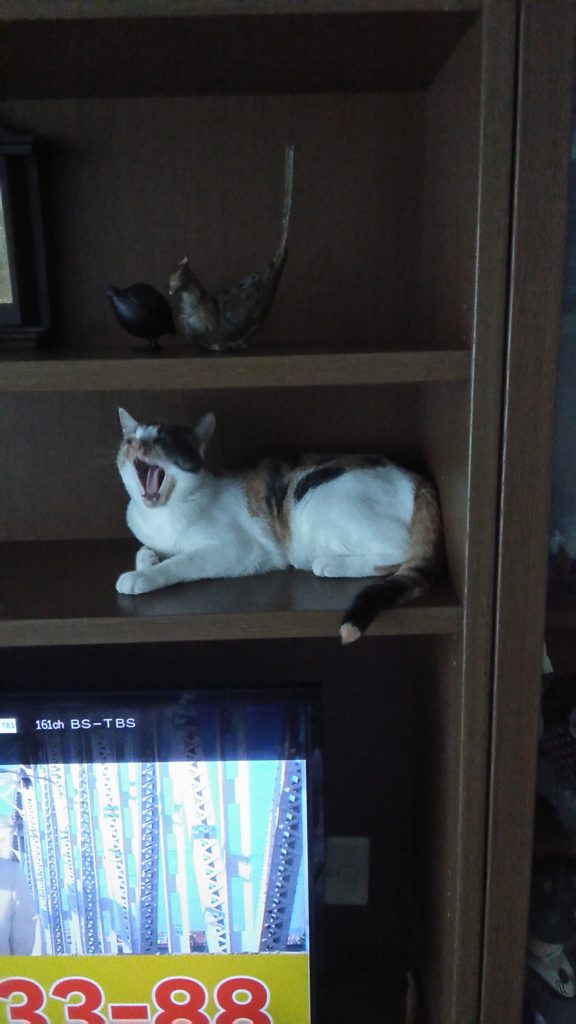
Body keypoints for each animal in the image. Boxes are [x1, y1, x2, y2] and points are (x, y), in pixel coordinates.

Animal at [115, 408, 443, 643]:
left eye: (161, 441)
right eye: (129, 441)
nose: (137, 447)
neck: (161, 515)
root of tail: (416, 476)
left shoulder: (238, 550)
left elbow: (180, 562)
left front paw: (142, 576)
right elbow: (145, 550)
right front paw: (147, 560)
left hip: (316, 495)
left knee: (398, 551)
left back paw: (329, 563)